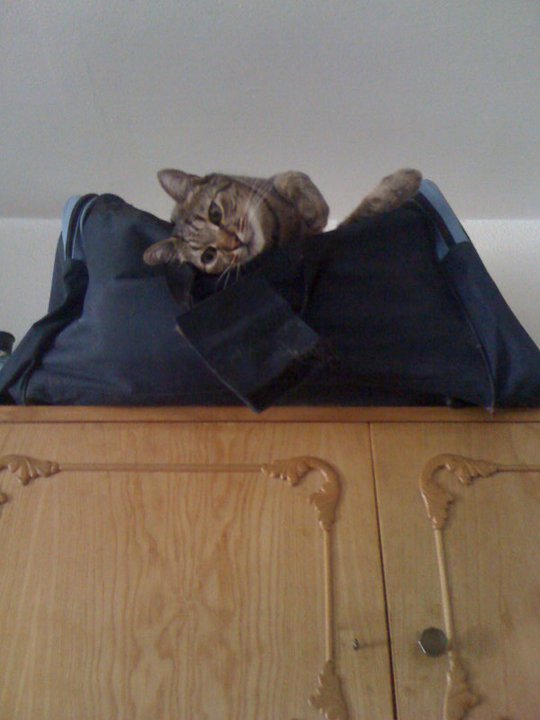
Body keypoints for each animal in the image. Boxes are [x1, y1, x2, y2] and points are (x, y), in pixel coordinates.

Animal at [143, 167, 422, 275]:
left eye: (215, 213)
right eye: (208, 256)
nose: (233, 243)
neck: (276, 227)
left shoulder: (273, 181)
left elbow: (292, 176)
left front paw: (312, 208)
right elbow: (366, 210)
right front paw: (402, 183)